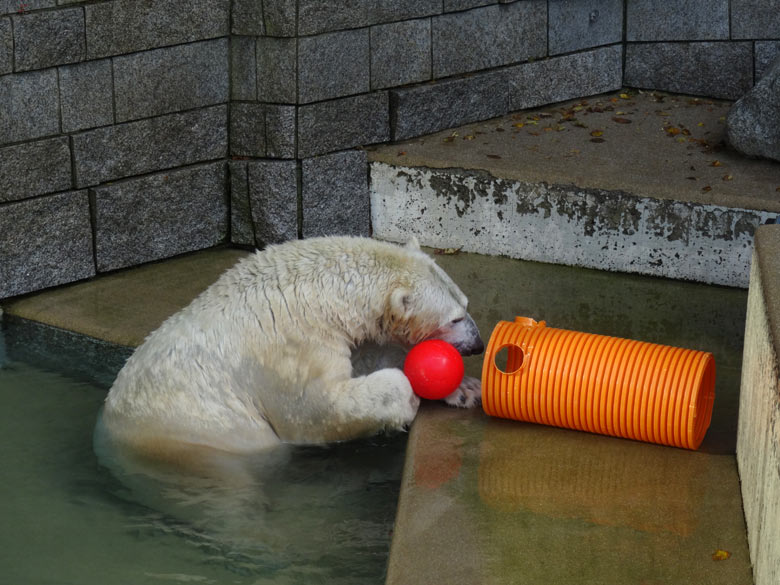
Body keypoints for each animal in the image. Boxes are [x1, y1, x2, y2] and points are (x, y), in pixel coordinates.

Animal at [99, 235, 482, 458]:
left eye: (466, 304)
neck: (321, 290)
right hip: (202, 434)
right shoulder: (292, 344)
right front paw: (407, 395)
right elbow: (316, 408)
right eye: (454, 318)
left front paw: (465, 389)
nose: (477, 344)